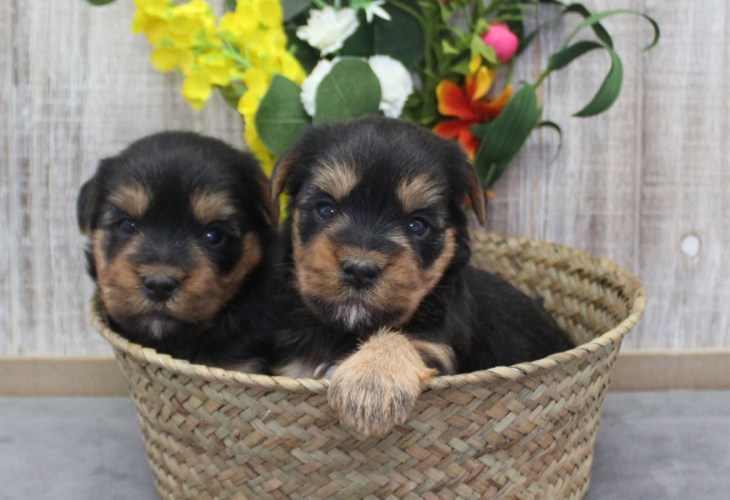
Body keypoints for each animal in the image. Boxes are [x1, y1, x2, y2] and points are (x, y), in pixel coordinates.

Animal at [270, 116, 572, 434]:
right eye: (325, 209)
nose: (360, 270)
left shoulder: (442, 347)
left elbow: (406, 339)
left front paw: (371, 383)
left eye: (417, 225)